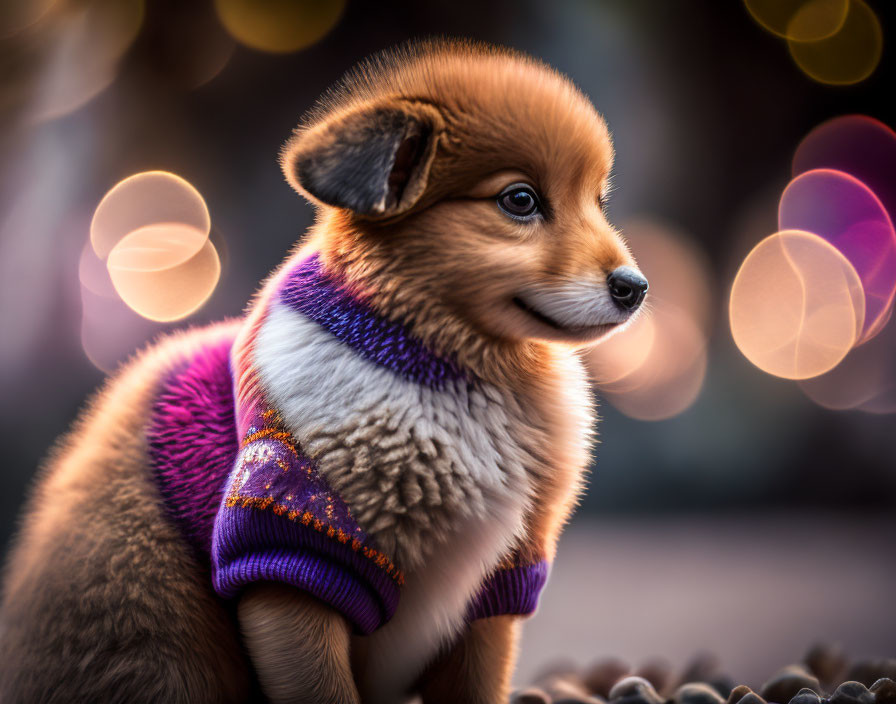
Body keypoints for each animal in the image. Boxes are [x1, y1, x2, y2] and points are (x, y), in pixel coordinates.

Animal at [0, 40, 644, 704]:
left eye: (597, 202)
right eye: (520, 200)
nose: (636, 288)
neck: (449, 370)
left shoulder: (495, 592)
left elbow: (476, 685)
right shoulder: (294, 556)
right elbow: (324, 687)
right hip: (160, 625)